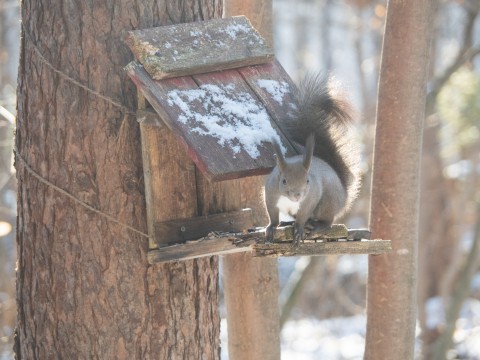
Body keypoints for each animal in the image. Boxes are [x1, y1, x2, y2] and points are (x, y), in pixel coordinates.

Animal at [262, 73, 360, 243]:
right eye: (284, 181)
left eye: (307, 181)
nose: (297, 195)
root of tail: (344, 197)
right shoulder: (271, 195)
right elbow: (273, 215)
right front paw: (272, 227)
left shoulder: (309, 200)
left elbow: (303, 216)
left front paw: (299, 230)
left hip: (327, 203)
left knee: (328, 221)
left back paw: (317, 226)